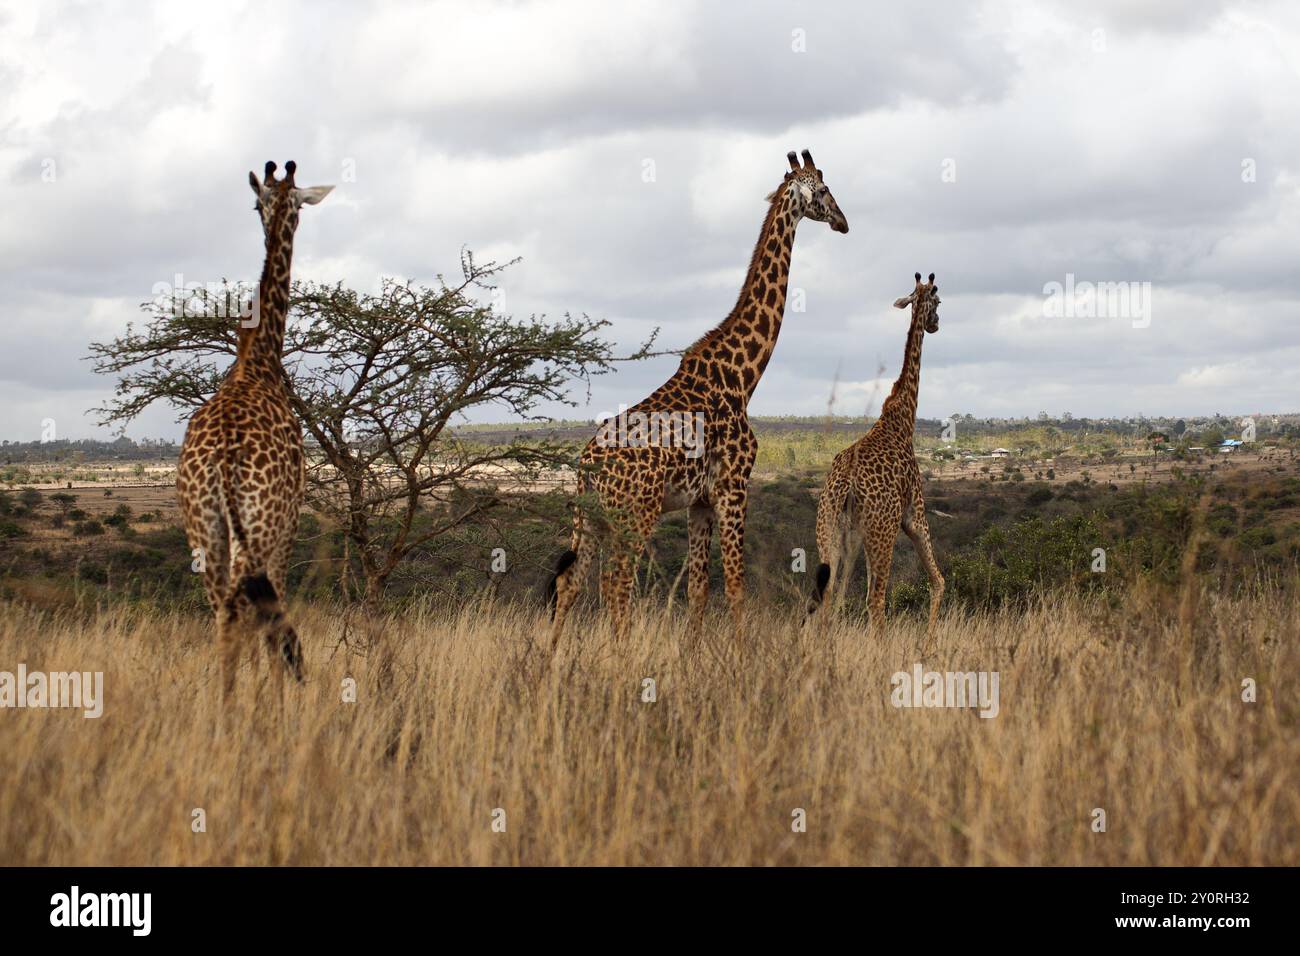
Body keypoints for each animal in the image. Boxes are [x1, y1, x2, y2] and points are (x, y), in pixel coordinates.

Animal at [176, 160, 332, 700]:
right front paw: (276, 699)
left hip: (204, 531)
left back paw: (226, 708)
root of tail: (222, 463)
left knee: (224, 614)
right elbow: (273, 619)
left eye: (259, 203)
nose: (273, 224)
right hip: (258, 526)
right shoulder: (288, 523)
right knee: (246, 614)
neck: (258, 360)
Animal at [548, 150, 849, 645]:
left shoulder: (700, 502)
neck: (744, 376)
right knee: (616, 584)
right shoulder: (734, 486)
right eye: (824, 190)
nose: (844, 222)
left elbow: (698, 591)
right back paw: (619, 655)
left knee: (571, 583)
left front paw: (694, 654)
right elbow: (736, 585)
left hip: (591, 519)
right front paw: (740, 655)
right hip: (635, 514)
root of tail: (586, 467)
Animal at [805, 272, 945, 638]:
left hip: (829, 528)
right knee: (876, 600)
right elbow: (937, 581)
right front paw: (930, 641)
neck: (903, 419)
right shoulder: (915, 512)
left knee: (825, 600)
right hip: (882, 531)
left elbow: (839, 598)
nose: (936, 324)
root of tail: (844, 485)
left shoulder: (852, 536)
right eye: (938, 301)